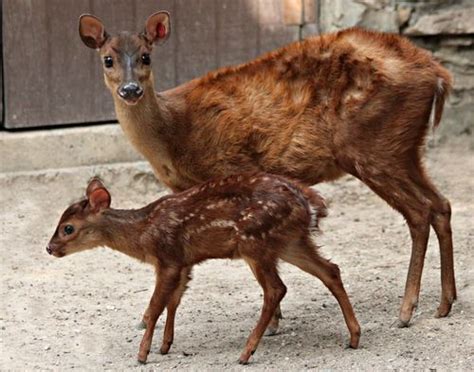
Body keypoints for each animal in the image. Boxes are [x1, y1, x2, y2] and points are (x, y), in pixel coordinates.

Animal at [47, 176, 360, 364]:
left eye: (68, 228)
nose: (49, 248)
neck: (143, 233)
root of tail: (308, 205)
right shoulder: (185, 263)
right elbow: (173, 302)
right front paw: (165, 345)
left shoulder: (168, 258)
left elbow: (155, 306)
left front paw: (142, 353)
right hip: (291, 243)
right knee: (331, 270)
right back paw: (354, 337)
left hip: (255, 241)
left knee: (276, 288)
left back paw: (246, 352)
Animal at [79, 10, 458, 326]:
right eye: (108, 59)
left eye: (146, 56)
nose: (131, 89)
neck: (172, 133)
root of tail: (438, 74)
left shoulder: (229, 168)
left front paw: (273, 322)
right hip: (404, 148)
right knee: (441, 204)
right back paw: (445, 302)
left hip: (371, 146)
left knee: (419, 212)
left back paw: (406, 311)